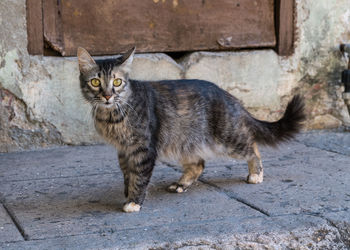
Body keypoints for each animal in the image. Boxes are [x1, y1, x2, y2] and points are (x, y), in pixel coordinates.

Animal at [78, 47, 304, 213]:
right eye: (96, 82)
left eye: (117, 82)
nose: (107, 95)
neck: (112, 116)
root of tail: (230, 97)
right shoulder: (124, 150)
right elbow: (127, 175)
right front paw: (127, 192)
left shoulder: (143, 149)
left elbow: (139, 177)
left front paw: (134, 201)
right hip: (184, 142)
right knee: (198, 164)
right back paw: (181, 184)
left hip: (226, 139)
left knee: (252, 146)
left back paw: (256, 174)